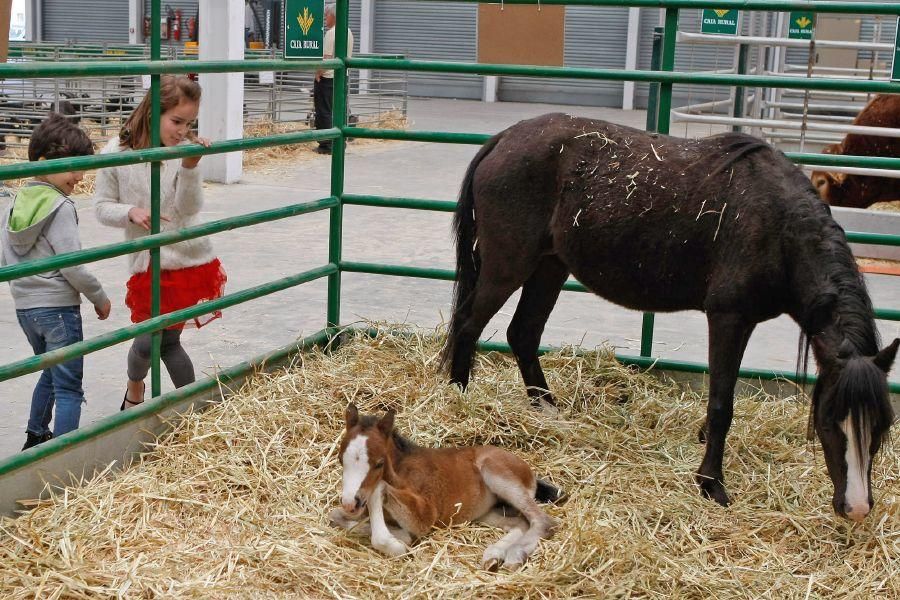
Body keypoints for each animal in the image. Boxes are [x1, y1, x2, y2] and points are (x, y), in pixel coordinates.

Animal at [330, 404, 568, 568]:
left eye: (379, 463)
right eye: (341, 459)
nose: (351, 503)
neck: (400, 470)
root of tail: (529, 471)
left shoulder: (426, 514)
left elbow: (380, 490)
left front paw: (396, 543)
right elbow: (335, 516)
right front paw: (399, 536)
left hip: (496, 473)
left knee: (544, 522)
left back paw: (514, 557)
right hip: (484, 512)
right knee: (520, 523)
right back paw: (493, 555)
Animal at [442, 113, 892, 520]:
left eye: (882, 426)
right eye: (829, 421)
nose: (856, 509)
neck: (779, 228)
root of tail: (504, 138)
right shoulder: (728, 317)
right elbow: (722, 403)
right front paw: (711, 483)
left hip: (550, 266)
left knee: (523, 332)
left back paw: (547, 411)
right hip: (508, 267)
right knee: (469, 324)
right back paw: (459, 399)